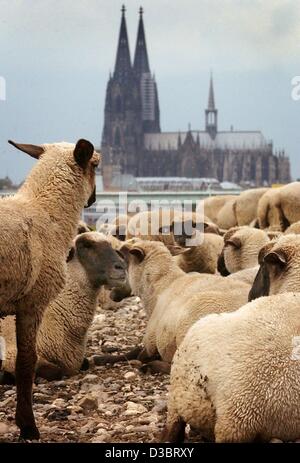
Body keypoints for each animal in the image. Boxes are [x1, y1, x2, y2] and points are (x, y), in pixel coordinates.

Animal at [0, 139, 99, 442]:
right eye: (96, 164)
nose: (93, 200)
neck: (44, 211)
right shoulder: (32, 303)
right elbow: (26, 363)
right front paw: (28, 426)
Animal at [0, 232, 126, 380]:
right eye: (86, 246)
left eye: (111, 245)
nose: (121, 267)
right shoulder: (13, 353)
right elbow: (55, 371)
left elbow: (84, 363)